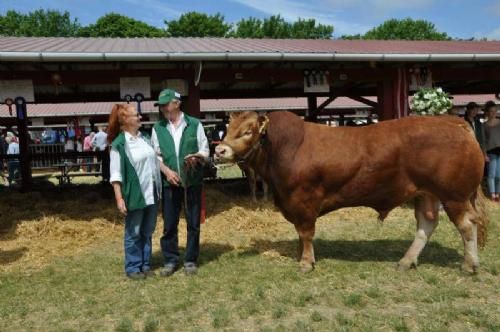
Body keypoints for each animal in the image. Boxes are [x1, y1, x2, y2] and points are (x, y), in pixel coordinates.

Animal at [214, 111, 488, 272]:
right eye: (228, 127)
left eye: (248, 131)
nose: (219, 150)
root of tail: (454, 121)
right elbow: (300, 234)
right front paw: (300, 256)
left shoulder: (303, 201)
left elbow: (305, 233)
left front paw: (306, 262)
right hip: (426, 193)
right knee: (427, 224)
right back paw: (406, 261)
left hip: (454, 196)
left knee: (467, 226)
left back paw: (469, 264)